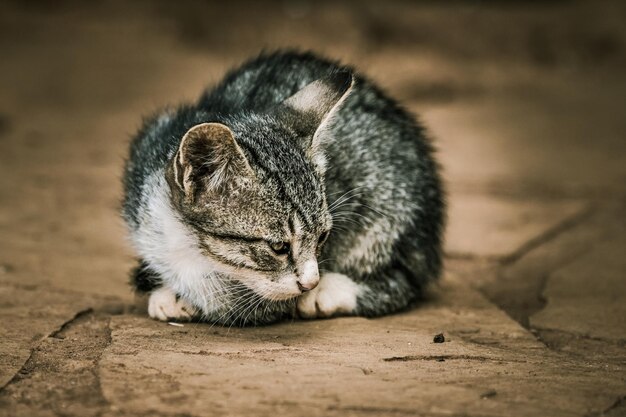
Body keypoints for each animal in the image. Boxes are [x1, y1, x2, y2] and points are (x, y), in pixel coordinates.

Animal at [122, 50, 444, 324]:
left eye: (323, 236)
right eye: (278, 247)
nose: (311, 282)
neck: (188, 245)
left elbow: (235, 301)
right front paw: (170, 291)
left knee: (404, 281)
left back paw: (330, 291)